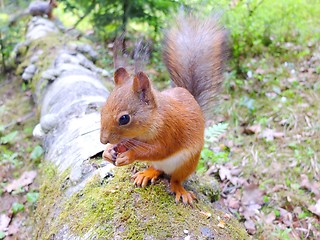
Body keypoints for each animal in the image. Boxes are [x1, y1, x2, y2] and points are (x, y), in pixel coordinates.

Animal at [100, 12, 228, 204]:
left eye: (124, 118)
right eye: (101, 110)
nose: (103, 140)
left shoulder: (170, 129)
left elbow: (158, 149)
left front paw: (128, 156)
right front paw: (107, 152)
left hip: (187, 163)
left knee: (175, 179)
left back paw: (180, 190)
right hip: (159, 164)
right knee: (157, 168)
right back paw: (147, 173)